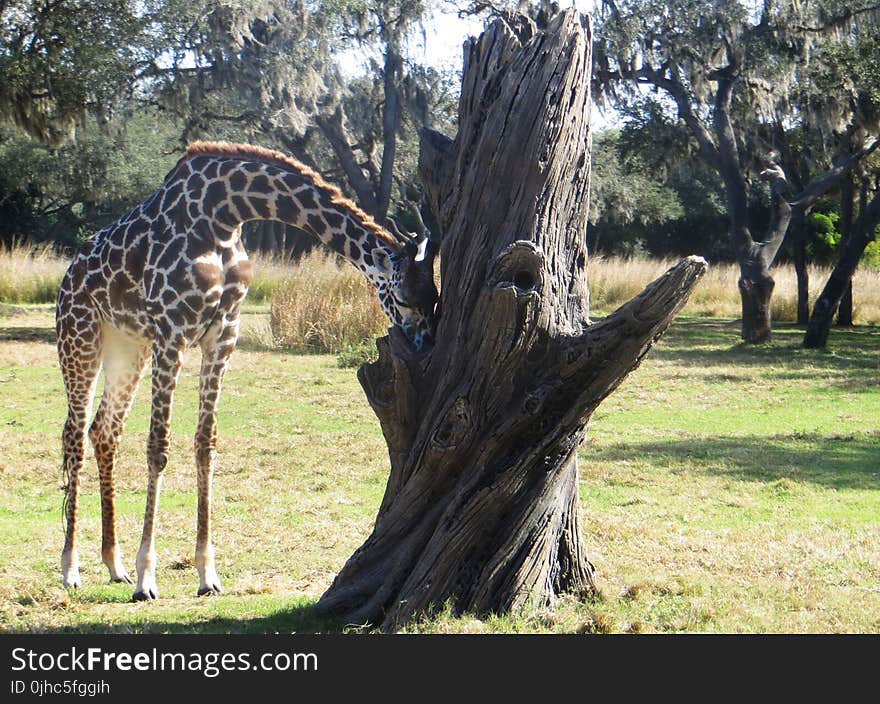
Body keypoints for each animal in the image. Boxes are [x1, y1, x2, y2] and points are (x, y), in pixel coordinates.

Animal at [55, 142, 440, 600]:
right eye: (403, 298)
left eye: (434, 298)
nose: (424, 345)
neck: (223, 213)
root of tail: (66, 277)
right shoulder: (172, 331)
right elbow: (158, 447)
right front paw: (148, 578)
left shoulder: (223, 334)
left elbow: (205, 444)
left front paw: (207, 574)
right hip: (80, 337)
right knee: (74, 436)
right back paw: (70, 569)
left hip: (128, 347)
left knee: (104, 431)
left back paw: (114, 566)